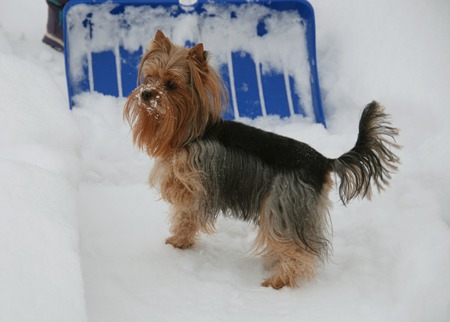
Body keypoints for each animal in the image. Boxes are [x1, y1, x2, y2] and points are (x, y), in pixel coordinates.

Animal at [124, 28, 400, 288]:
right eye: (150, 78)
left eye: (171, 85)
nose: (146, 94)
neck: (192, 132)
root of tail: (324, 160)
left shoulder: (194, 184)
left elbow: (185, 215)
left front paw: (177, 243)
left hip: (282, 206)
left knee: (297, 248)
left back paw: (279, 282)